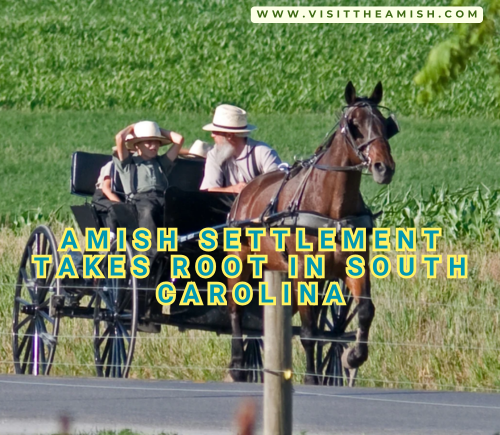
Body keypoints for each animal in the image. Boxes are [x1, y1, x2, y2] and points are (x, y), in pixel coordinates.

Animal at [226, 82, 394, 384]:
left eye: (385, 124)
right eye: (353, 125)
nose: (383, 168)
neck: (333, 210)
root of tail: (246, 192)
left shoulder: (353, 266)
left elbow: (364, 311)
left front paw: (353, 356)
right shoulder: (304, 271)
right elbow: (307, 333)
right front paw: (312, 378)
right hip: (240, 263)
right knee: (235, 309)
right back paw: (237, 365)